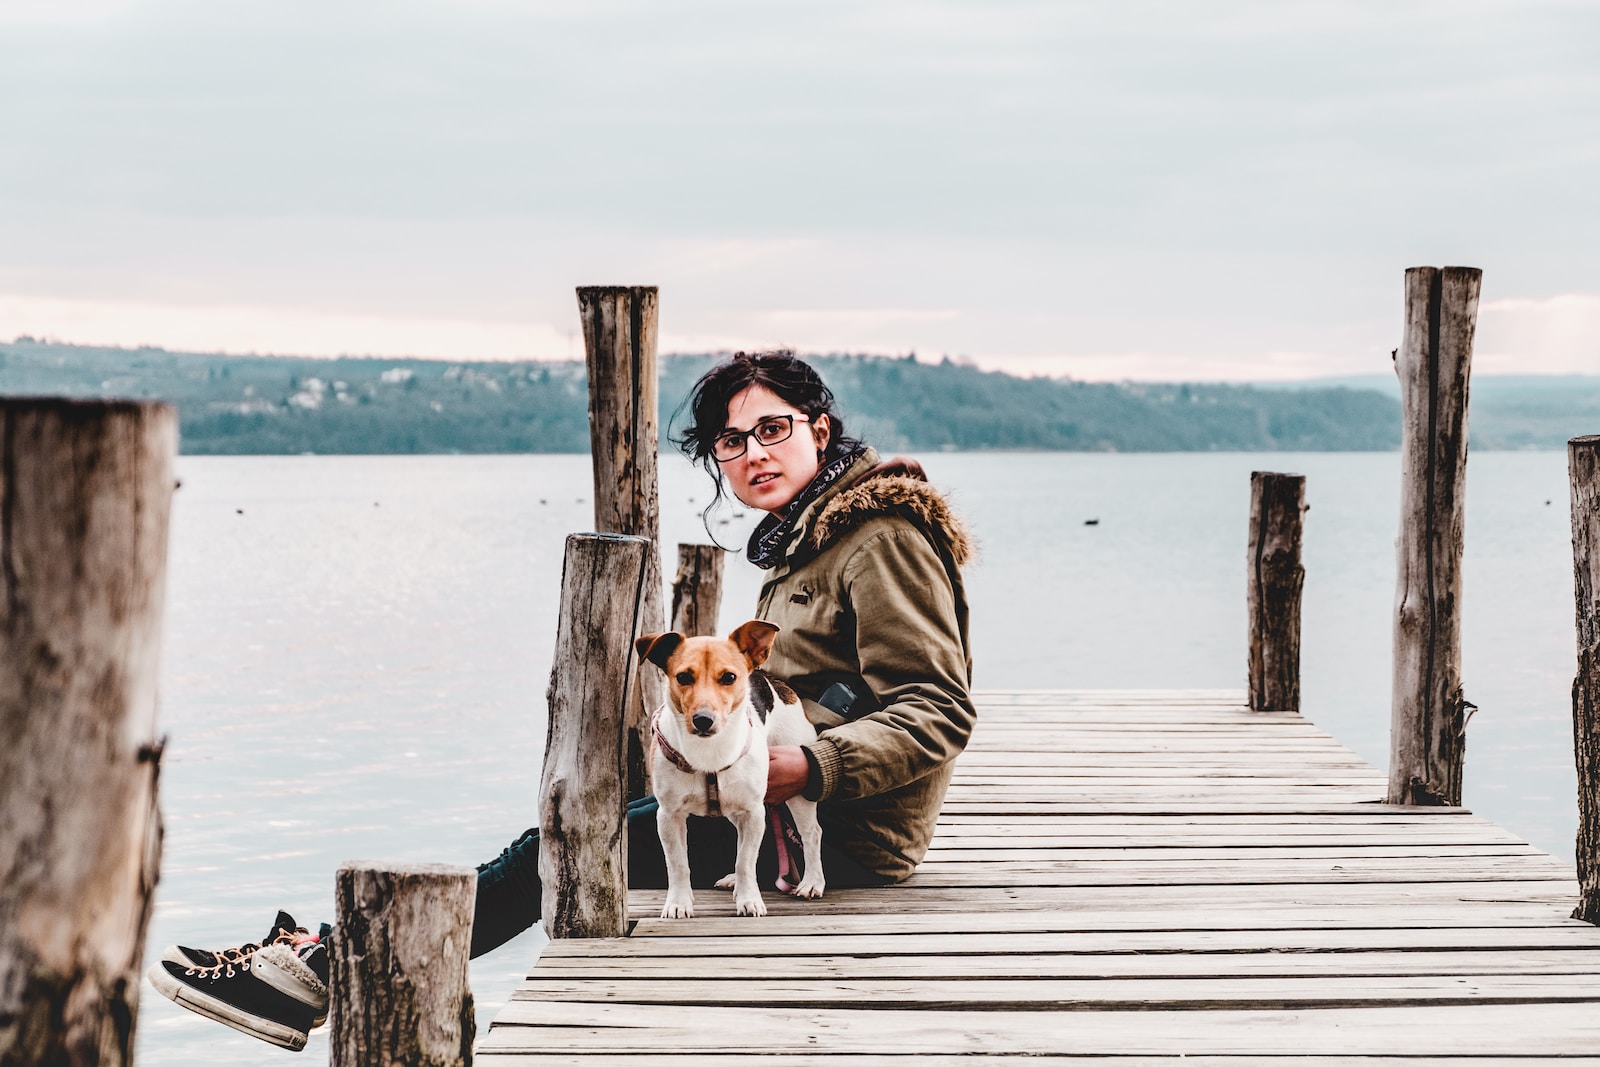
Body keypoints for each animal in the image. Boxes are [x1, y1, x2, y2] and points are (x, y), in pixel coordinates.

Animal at [630, 620, 825, 921]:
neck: (708, 752)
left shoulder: (752, 811)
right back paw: (735, 880)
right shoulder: (669, 816)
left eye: (729, 677)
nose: (703, 719)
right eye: (683, 677)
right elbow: (678, 864)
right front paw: (678, 903)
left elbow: (745, 860)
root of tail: (774, 681)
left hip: (797, 792)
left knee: (811, 833)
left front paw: (749, 900)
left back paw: (812, 882)